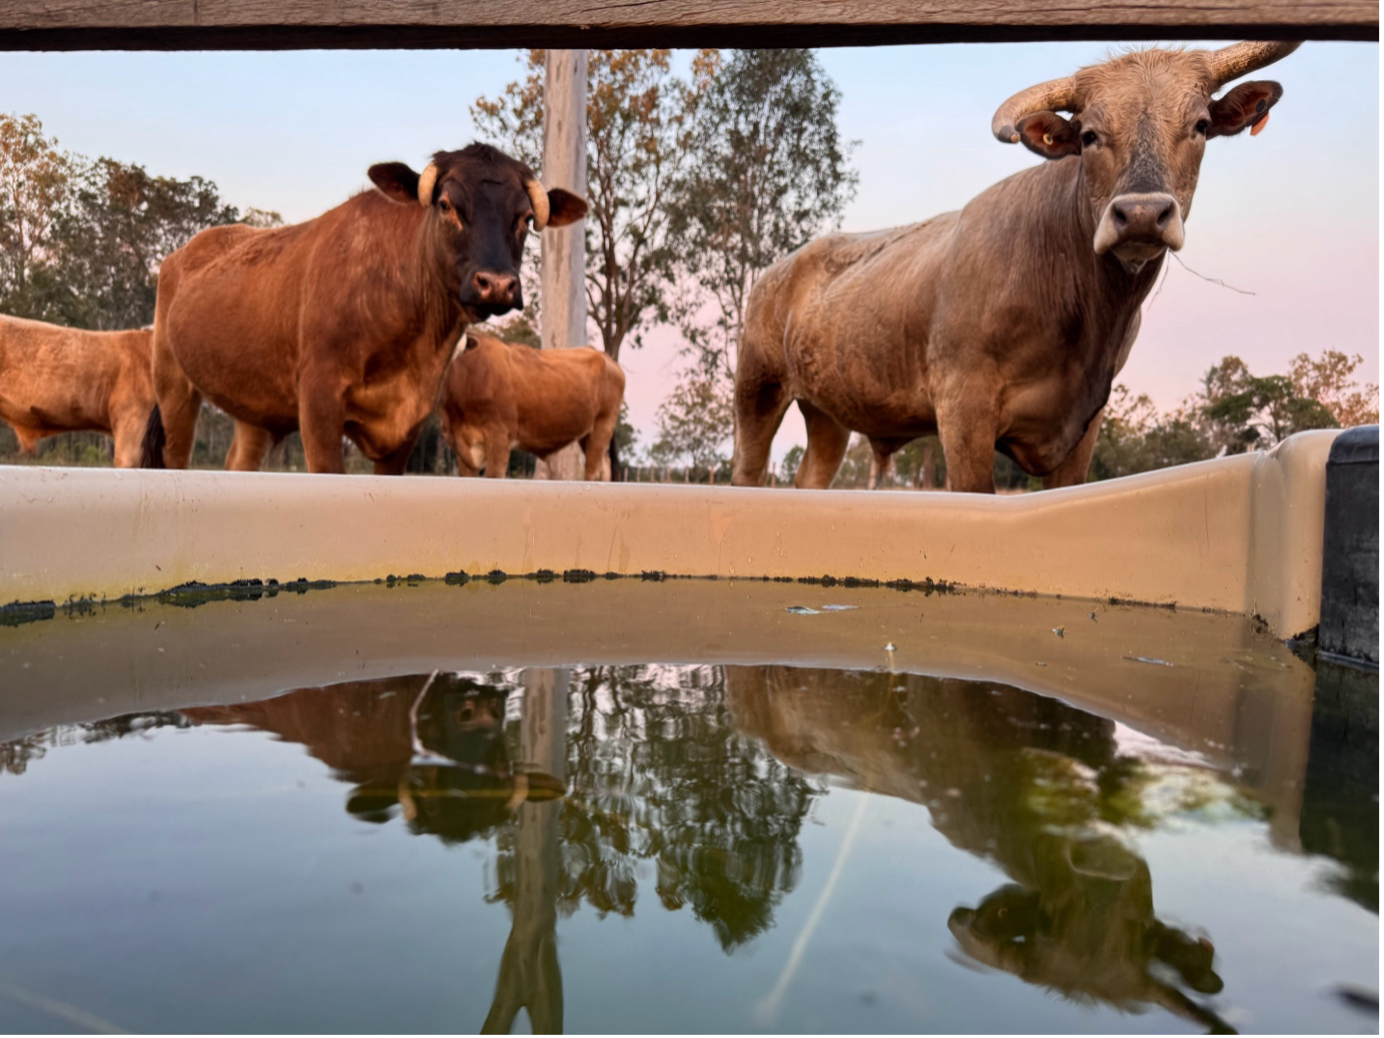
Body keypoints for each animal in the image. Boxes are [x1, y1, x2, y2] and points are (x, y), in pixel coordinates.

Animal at [141, 143, 587, 474]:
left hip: (253, 409)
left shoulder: (408, 425)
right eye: (446, 205)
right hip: (172, 384)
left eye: (525, 217)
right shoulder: (318, 400)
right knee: (175, 456)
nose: (496, 284)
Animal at [440, 333, 626, 480]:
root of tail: (605, 356)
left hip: (604, 424)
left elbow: (494, 476)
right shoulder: (462, 448)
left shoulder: (500, 438)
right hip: (587, 434)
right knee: (605, 466)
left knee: (593, 471)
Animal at [732, 41, 1300, 493]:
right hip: (756, 391)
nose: (1141, 213)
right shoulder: (963, 412)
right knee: (748, 474)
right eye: (1089, 135)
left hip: (826, 415)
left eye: (1200, 126)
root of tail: (780, 269)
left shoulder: (1085, 426)